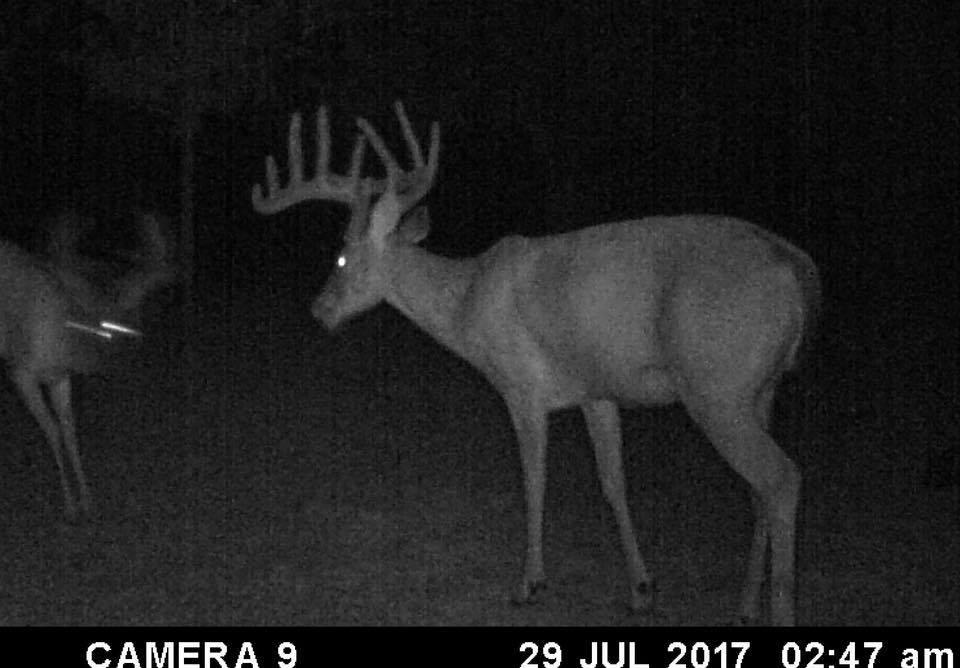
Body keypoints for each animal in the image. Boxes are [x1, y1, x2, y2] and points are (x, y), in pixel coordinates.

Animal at [0, 209, 176, 520]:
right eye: (117, 314)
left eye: (142, 303)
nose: (134, 341)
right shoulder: (21, 371)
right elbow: (52, 430)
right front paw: (70, 505)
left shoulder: (59, 376)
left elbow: (69, 429)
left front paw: (87, 499)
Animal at [251, 101, 820, 626]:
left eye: (341, 257)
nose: (319, 310)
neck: (467, 304)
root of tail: (797, 269)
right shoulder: (597, 389)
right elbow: (613, 482)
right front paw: (642, 589)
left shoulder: (521, 385)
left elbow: (533, 480)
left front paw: (528, 583)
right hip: (760, 389)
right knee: (757, 491)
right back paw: (744, 607)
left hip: (716, 386)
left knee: (780, 479)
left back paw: (780, 612)